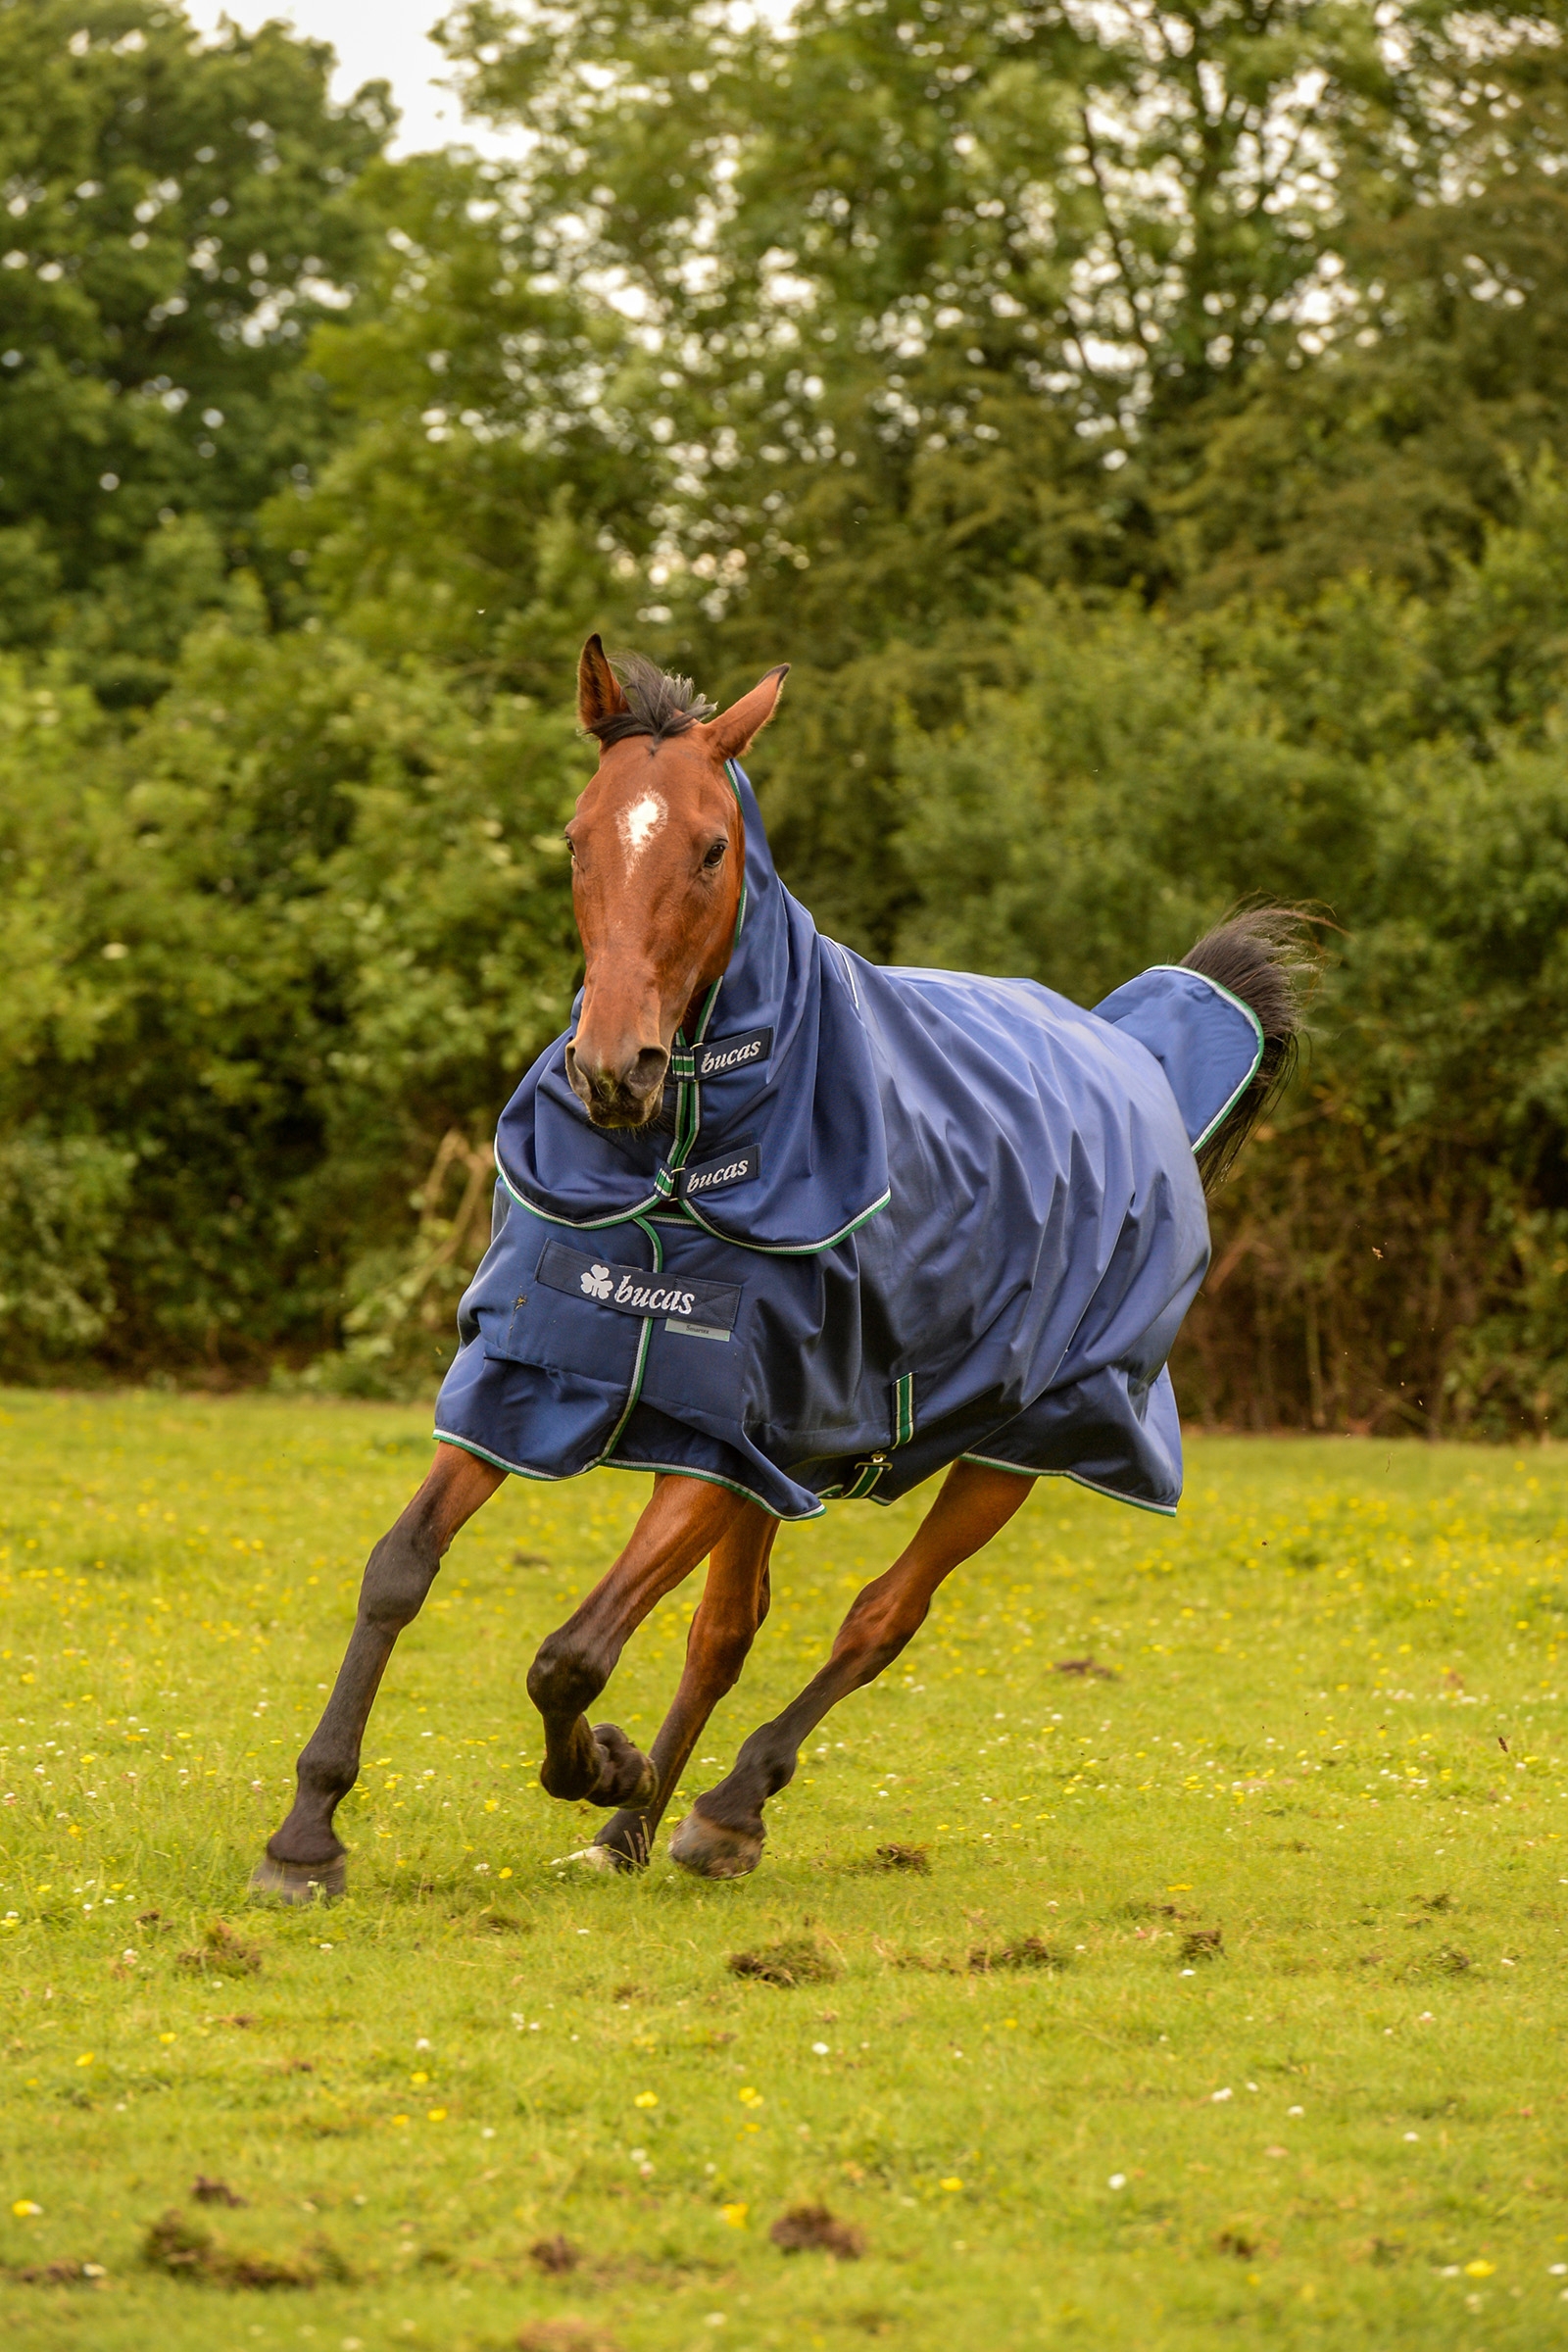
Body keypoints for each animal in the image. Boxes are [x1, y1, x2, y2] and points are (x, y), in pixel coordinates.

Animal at [252, 636, 1302, 1899]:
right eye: (575, 838)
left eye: (714, 848)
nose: (612, 1069)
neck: (680, 1168)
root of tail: (1139, 1063)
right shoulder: (542, 1378)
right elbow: (400, 1569)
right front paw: (309, 1833)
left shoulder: (723, 1430)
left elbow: (571, 1654)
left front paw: (597, 1765)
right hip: (795, 1460)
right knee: (728, 1629)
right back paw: (636, 1830)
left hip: (1027, 1439)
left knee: (879, 1618)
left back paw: (723, 1807)